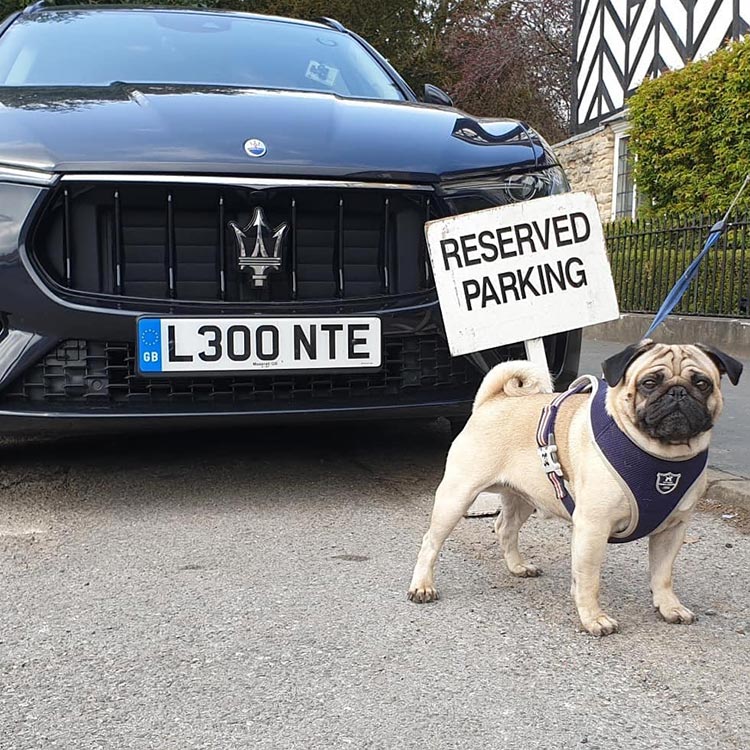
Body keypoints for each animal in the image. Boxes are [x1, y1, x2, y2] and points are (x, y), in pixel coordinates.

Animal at [408, 344, 744, 636]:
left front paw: (669, 607)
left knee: (505, 528)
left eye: (702, 383)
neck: (662, 456)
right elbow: (589, 580)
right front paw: (593, 619)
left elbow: (663, 575)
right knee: (430, 541)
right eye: (649, 383)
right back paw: (422, 586)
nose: (678, 392)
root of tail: (491, 401)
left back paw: (518, 566)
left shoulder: (672, 530)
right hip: (457, 496)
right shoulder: (593, 529)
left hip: (523, 497)